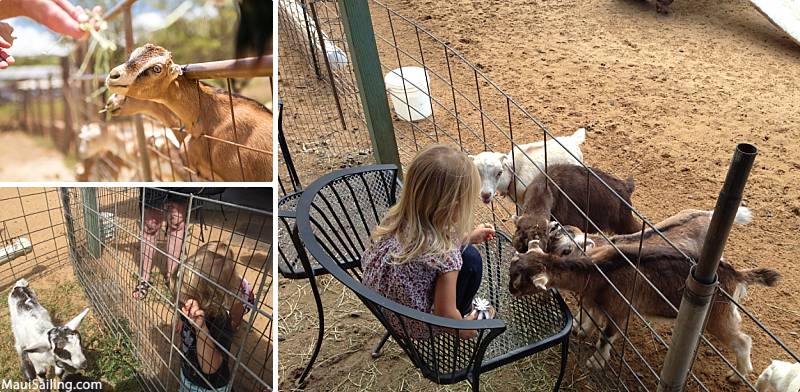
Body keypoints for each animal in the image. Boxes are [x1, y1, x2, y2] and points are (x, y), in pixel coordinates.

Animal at [510, 242, 780, 382]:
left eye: (520, 281)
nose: (510, 291)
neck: (599, 271)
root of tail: (735, 274)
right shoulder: (596, 302)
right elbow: (591, 317)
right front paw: (582, 330)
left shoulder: (619, 311)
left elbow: (605, 336)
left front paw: (596, 361)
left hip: (717, 316)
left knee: (742, 341)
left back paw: (737, 375)